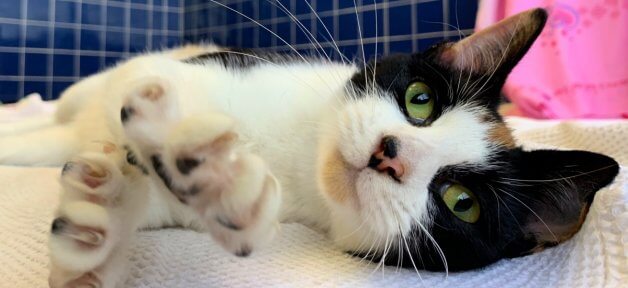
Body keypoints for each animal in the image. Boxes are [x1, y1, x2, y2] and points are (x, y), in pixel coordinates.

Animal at [0, 7, 620, 286]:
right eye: (420, 101)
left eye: (461, 203)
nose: (390, 152)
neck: (300, 156)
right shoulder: (195, 70)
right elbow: (153, 90)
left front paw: (101, 221)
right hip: (89, 91)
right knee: (63, 113)